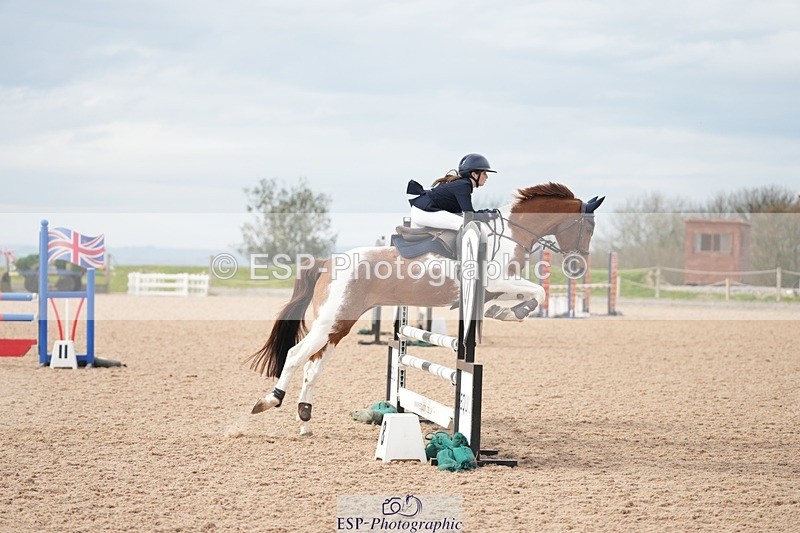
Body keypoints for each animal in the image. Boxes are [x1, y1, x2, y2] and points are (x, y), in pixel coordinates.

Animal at [245, 182, 604, 435]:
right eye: (587, 227)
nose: (578, 266)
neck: (512, 233)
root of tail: (326, 262)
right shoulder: (496, 278)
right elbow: (537, 293)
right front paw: (513, 312)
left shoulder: (494, 285)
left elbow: (513, 298)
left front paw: (503, 312)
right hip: (330, 322)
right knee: (295, 355)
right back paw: (269, 401)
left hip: (339, 325)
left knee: (313, 366)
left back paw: (305, 419)